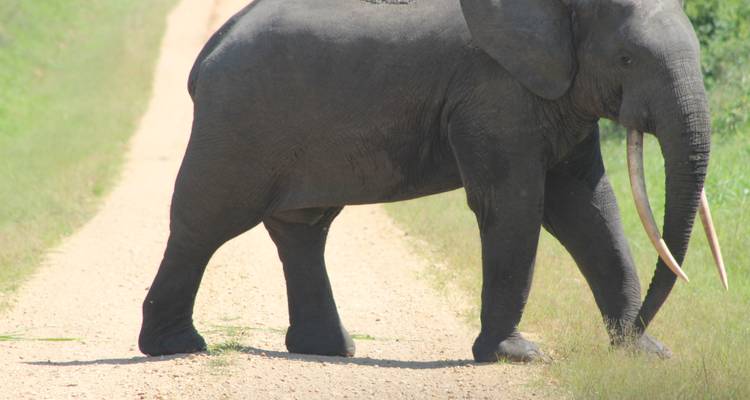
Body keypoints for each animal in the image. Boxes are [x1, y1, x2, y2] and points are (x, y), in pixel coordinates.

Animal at [138, 0, 727, 362]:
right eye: (627, 58)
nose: (638, 328)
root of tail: (211, 48)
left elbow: (590, 209)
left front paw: (647, 355)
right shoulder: (493, 94)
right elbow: (516, 205)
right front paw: (517, 356)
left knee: (302, 229)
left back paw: (329, 350)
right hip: (236, 121)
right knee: (204, 223)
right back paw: (178, 347)